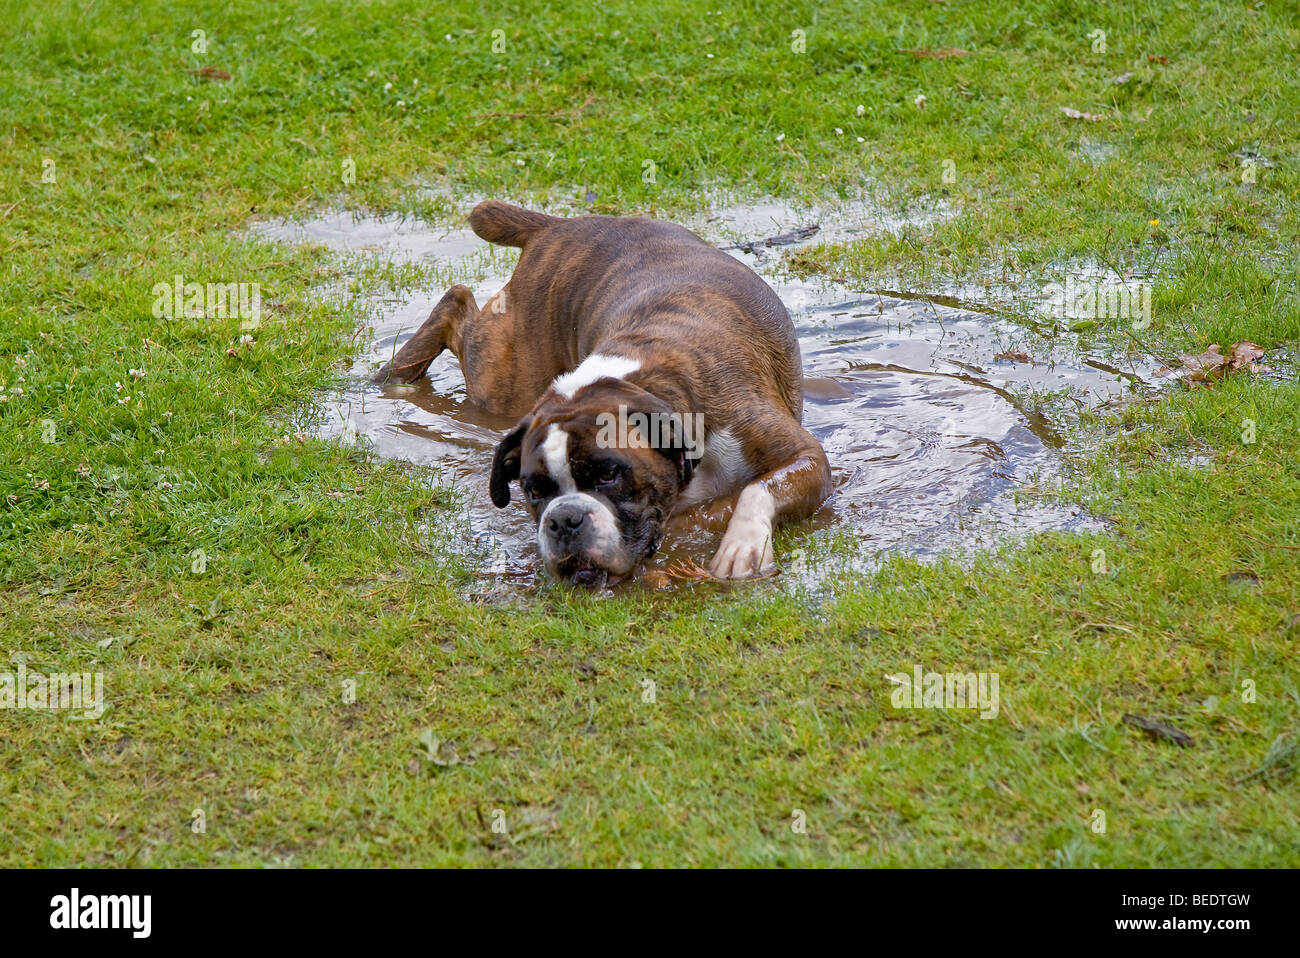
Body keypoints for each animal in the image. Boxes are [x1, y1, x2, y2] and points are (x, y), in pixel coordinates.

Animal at [374, 201, 832, 582]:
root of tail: (556, 226)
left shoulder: (806, 458)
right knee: (457, 301)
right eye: (534, 492)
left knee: (457, 299)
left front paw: (741, 546)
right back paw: (394, 375)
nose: (564, 519)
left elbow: (756, 491)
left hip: (500, 381)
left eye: (608, 474)